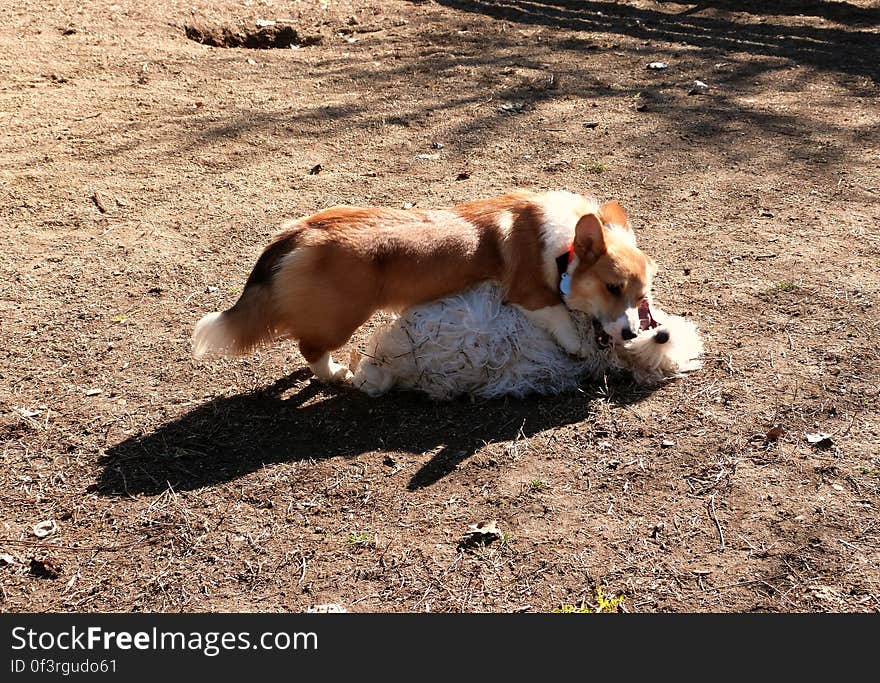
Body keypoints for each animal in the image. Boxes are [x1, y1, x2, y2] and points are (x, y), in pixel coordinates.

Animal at [196, 191, 656, 384]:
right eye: (612, 288)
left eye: (641, 298)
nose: (633, 333)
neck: (564, 248)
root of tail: (297, 231)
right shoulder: (528, 293)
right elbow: (556, 310)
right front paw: (576, 344)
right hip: (345, 316)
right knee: (310, 346)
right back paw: (335, 374)